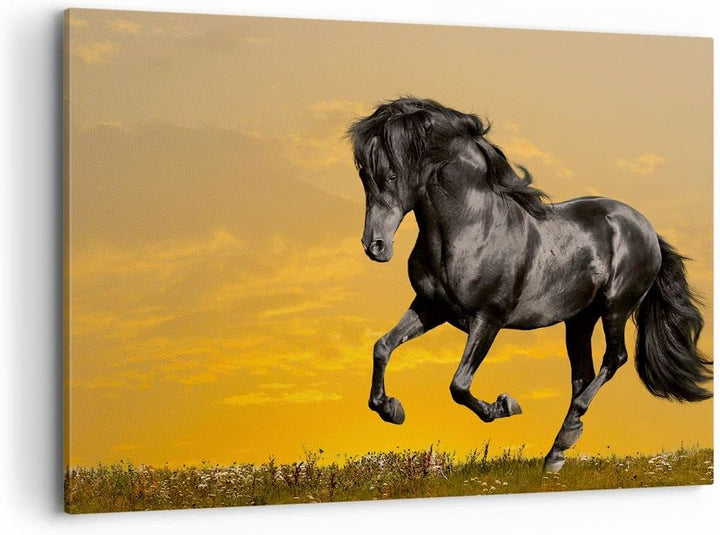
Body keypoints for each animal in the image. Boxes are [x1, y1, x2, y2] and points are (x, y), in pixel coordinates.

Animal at [347, 97, 712, 473]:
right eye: (363, 174)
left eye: (392, 173)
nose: (375, 246)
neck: (472, 227)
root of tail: (646, 228)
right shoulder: (430, 307)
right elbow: (383, 346)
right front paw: (391, 409)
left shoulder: (488, 318)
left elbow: (459, 385)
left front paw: (505, 405)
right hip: (579, 320)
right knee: (582, 375)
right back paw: (555, 454)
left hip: (615, 309)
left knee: (615, 358)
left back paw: (569, 431)